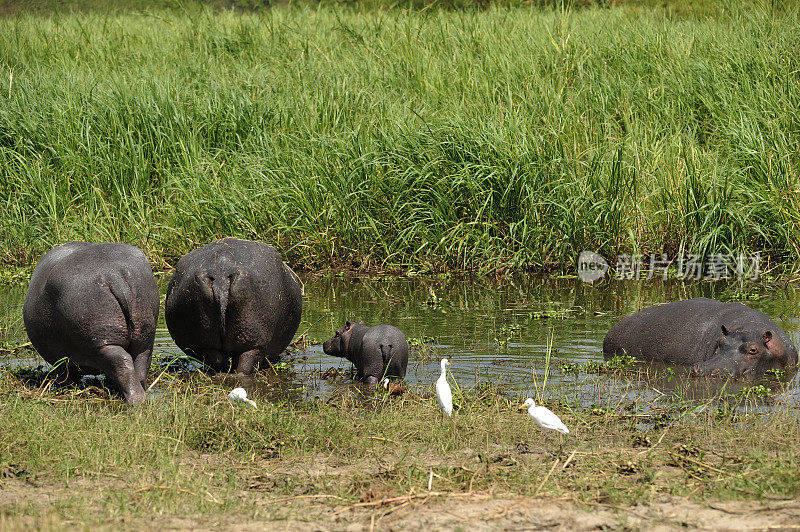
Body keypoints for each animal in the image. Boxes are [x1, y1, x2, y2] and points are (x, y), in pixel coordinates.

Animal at [23, 241, 159, 404]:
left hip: (101, 340)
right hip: (143, 334)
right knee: (140, 362)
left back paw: (135, 400)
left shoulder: (61, 359)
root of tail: (114, 275)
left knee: (121, 361)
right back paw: (143, 395)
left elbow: (66, 374)